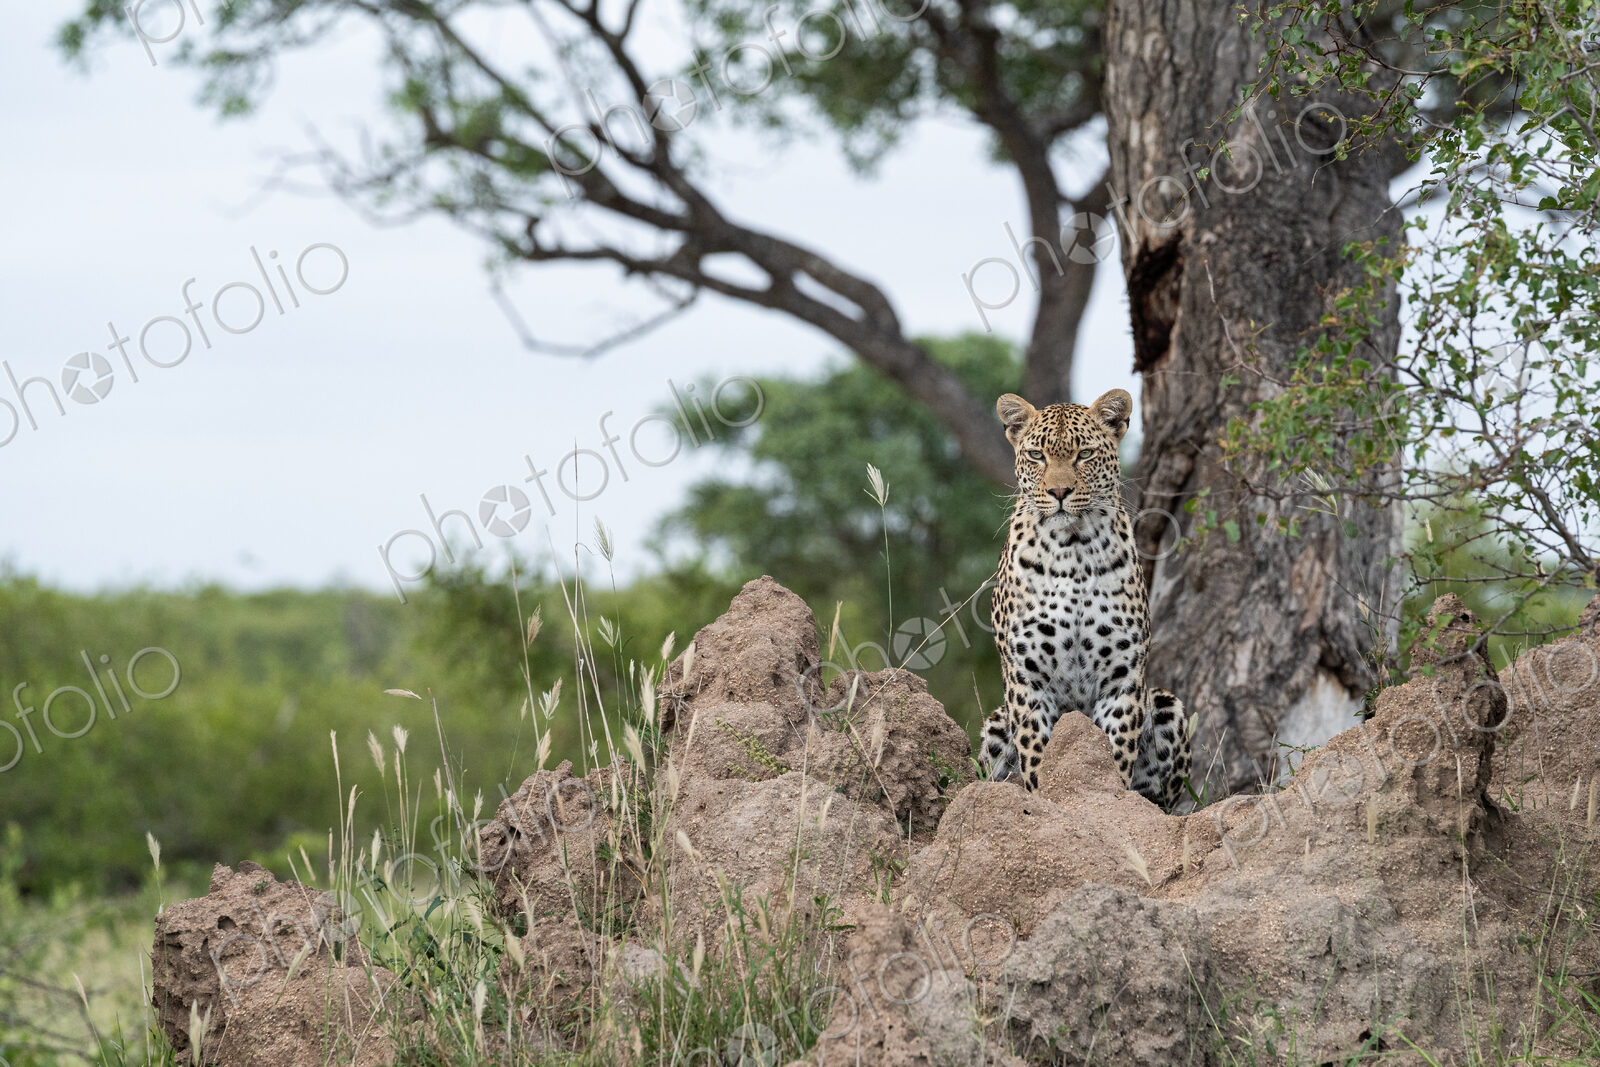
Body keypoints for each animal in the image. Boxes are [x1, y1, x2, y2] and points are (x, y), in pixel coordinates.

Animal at [978, 388, 1195, 809]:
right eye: (1037, 455)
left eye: (1085, 454)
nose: (1059, 492)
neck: (1074, 549)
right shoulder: (1028, 679)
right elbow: (1038, 756)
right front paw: (1047, 801)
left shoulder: (1122, 677)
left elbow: (1113, 755)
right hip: (995, 726)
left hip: (1167, 705)